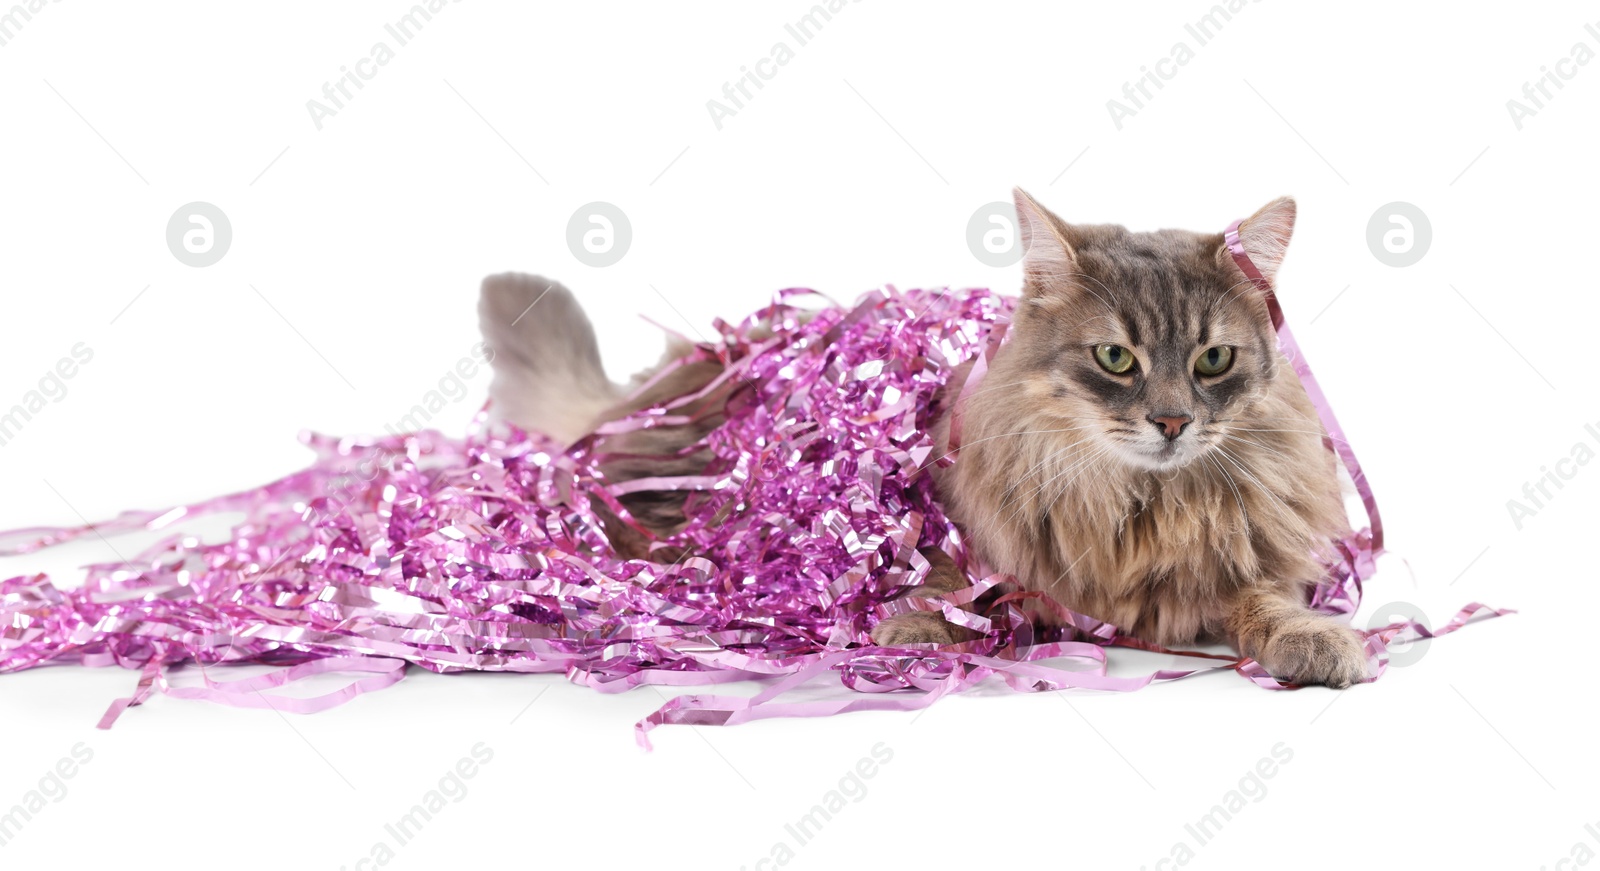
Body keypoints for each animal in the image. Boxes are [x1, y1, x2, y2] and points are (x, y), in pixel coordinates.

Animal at [470, 188, 1363, 688]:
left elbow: (1269, 601)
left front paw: (1315, 640)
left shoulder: (1250, 562)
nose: (1173, 420)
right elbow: (945, 577)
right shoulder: (953, 525)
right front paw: (912, 625)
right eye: (1116, 358)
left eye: (1214, 360)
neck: (1136, 503)